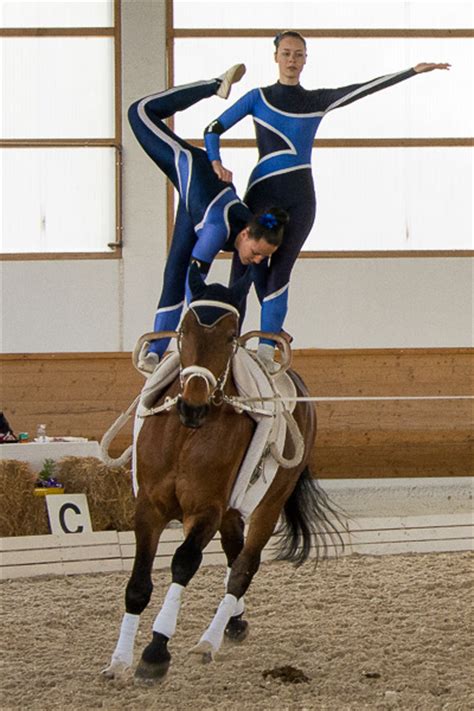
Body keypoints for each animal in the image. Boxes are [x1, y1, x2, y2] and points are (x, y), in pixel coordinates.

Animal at [102, 266, 342, 684]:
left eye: (231, 337)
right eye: (183, 332)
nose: (193, 405)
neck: (185, 434)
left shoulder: (206, 509)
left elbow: (183, 563)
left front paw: (155, 652)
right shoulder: (148, 507)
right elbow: (137, 585)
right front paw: (118, 660)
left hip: (269, 501)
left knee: (244, 565)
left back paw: (209, 640)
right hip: (233, 510)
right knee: (234, 555)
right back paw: (234, 622)